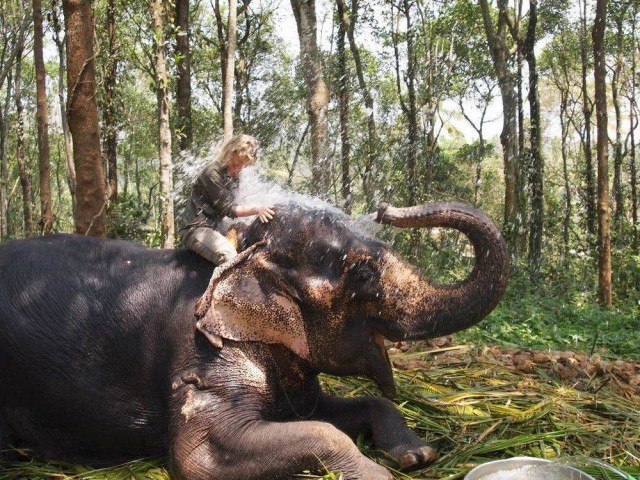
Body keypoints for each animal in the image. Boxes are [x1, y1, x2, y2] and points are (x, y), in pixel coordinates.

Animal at [0, 201, 510, 478]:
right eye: (363, 273)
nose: (386, 209)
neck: (244, 252)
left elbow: (324, 410)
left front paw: (416, 455)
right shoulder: (202, 353)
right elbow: (202, 456)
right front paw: (378, 474)